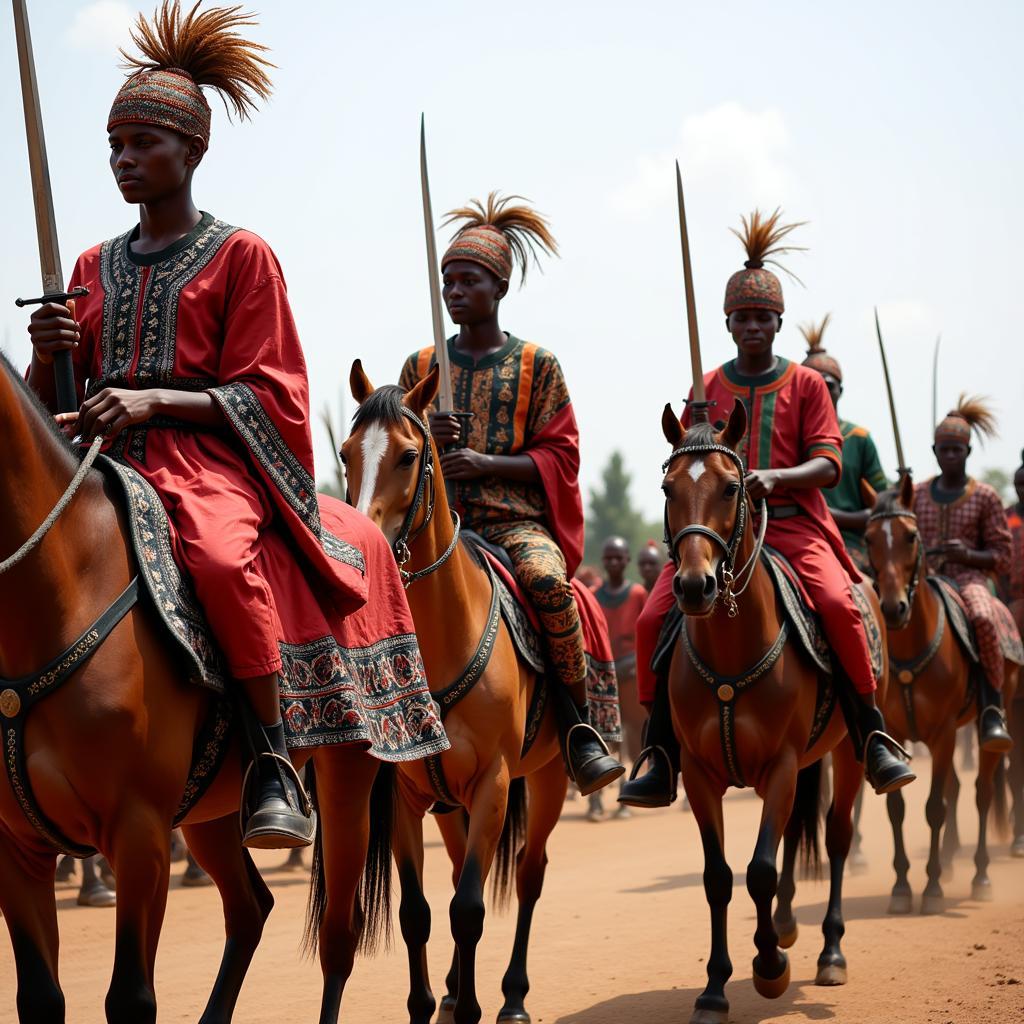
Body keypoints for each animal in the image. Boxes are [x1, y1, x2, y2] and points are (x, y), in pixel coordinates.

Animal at [0, 348, 387, 1019]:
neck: (60, 590)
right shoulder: (15, 847)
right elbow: (40, 1000)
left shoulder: (139, 830)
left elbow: (130, 998)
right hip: (212, 804)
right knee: (251, 908)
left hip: (347, 774)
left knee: (338, 934)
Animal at [342, 364, 569, 1024]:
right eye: (345, 453)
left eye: (408, 455)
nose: (362, 545)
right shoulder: (404, 794)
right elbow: (417, 913)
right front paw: (427, 1002)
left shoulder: (495, 781)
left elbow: (468, 909)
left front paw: (472, 1005)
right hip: (449, 805)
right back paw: (449, 989)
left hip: (549, 778)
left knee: (528, 874)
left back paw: (513, 994)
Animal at [659, 399, 884, 1024]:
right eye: (667, 489)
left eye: (733, 487)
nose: (694, 586)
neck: (732, 649)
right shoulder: (699, 774)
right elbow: (719, 877)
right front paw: (715, 988)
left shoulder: (782, 765)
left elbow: (759, 869)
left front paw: (768, 969)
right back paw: (783, 927)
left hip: (847, 753)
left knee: (836, 836)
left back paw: (828, 952)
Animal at [864, 473, 1015, 913]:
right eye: (869, 537)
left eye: (911, 536)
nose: (892, 607)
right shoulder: (894, 735)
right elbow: (896, 807)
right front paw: (901, 887)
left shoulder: (945, 733)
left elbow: (934, 807)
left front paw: (930, 888)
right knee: (959, 788)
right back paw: (948, 863)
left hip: (994, 718)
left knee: (982, 792)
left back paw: (980, 876)